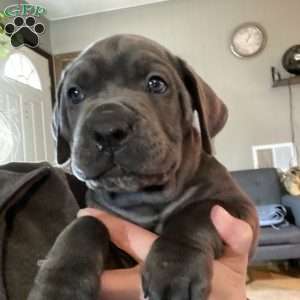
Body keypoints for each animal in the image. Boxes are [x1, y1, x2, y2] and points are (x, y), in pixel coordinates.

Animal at [27, 34, 258, 300]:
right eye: (74, 93)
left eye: (156, 84)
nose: (107, 128)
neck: (145, 197)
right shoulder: (101, 224)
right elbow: (85, 225)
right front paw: (58, 284)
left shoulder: (239, 207)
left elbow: (197, 213)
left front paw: (175, 268)